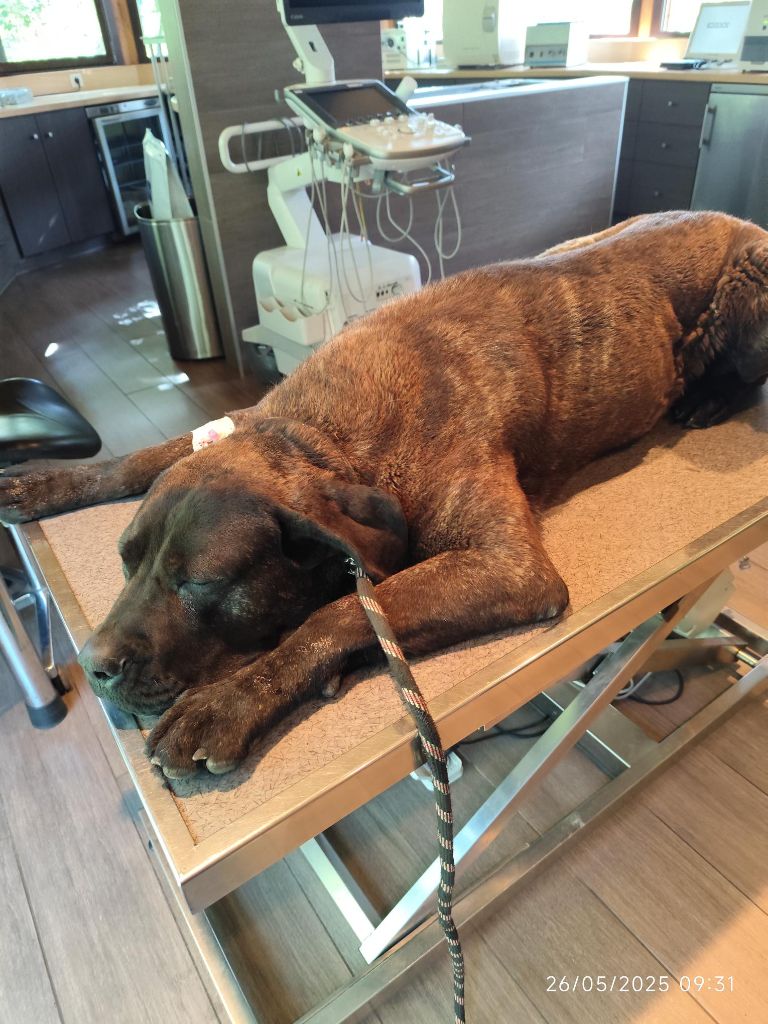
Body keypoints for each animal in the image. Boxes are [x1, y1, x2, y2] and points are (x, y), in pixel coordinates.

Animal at [2, 210, 767, 779]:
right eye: (126, 560)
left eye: (201, 584)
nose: (95, 667)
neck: (323, 437)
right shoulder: (238, 428)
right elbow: (139, 461)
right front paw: (44, 482)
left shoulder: (507, 566)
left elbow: (342, 611)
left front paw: (230, 703)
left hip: (752, 281)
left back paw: (708, 399)